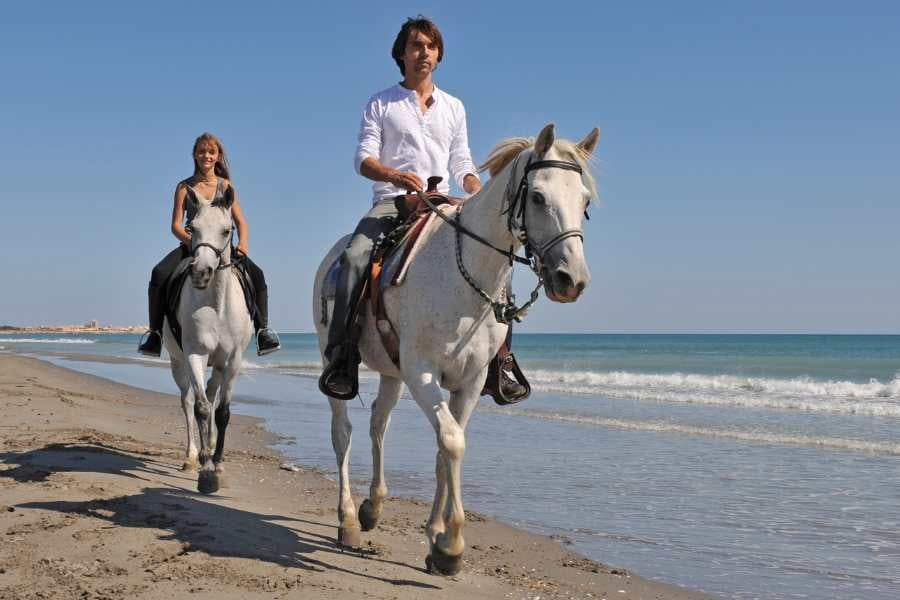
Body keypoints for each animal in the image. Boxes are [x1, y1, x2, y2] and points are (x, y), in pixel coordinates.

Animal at [163, 190, 251, 494]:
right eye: (192, 228)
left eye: (227, 230)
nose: (201, 273)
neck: (216, 304)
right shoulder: (194, 355)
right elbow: (200, 407)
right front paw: (206, 470)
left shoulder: (233, 360)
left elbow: (222, 411)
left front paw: (218, 461)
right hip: (178, 363)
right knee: (188, 401)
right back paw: (192, 457)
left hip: (220, 366)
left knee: (212, 396)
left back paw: (211, 446)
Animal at [312, 124, 600, 576]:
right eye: (537, 196)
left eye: (584, 200)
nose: (571, 280)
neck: (462, 274)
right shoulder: (422, 373)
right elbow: (451, 442)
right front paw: (451, 547)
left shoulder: (471, 380)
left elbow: (445, 448)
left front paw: (435, 535)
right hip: (335, 360)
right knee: (343, 433)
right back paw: (347, 522)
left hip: (392, 373)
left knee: (378, 425)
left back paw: (373, 507)